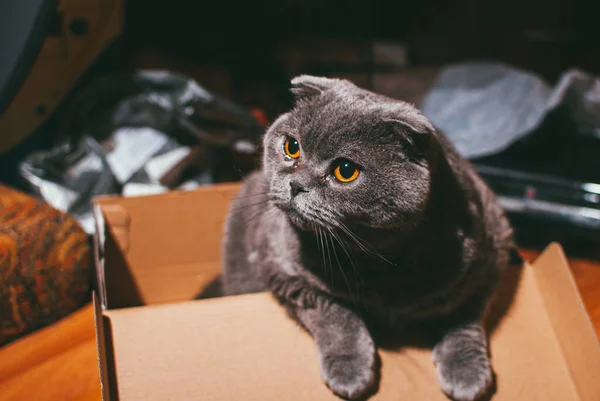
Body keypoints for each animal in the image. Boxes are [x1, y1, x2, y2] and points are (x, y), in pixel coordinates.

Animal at [223, 76, 512, 400]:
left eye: (345, 170)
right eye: (291, 147)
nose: (295, 185)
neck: (379, 260)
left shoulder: (491, 252)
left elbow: (464, 316)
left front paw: (466, 374)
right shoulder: (280, 263)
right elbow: (334, 311)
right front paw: (350, 371)